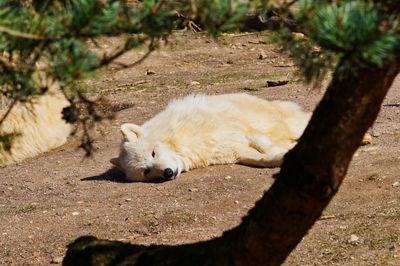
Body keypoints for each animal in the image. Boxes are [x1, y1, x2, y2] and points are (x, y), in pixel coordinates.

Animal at [111, 92, 310, 182]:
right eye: (146, 171)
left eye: (153, 153)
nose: (168, 173)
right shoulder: (236, 152)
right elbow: (263, 159)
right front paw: (282, 156)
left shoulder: (244, 131)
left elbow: (267, 147)